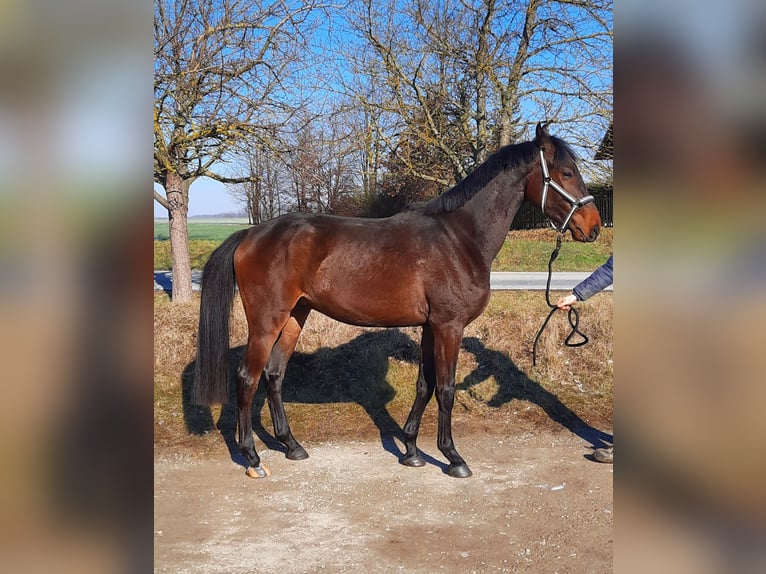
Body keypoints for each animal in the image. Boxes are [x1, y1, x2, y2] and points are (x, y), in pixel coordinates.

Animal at [195, 124, 604, 480]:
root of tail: (250, 234)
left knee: (274, 374)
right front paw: (453, 457)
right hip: (267, 320)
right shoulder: (449, 326)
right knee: (247, 379)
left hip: (296, 315)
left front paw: (410, 450)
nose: (593, 226)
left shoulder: (430, 327)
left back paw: (292, 445)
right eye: (567, 172)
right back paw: (252, 457)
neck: (459, 238)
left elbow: (426, 385)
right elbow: (446, 389)